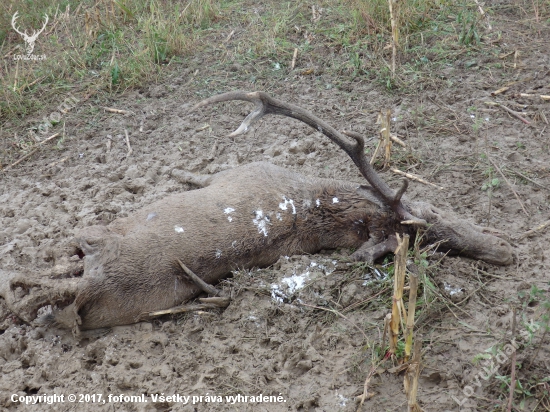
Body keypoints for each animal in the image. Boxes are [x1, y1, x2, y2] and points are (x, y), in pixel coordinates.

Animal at [0, 91, 516, 334]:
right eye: (432, 219)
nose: (506, 250)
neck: (314, 201)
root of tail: (96, 285)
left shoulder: (238, 169)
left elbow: (194, 174)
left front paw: (176, 169)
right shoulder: (247, 168)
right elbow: (193, 173)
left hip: (104, 258)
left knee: (50, 291)